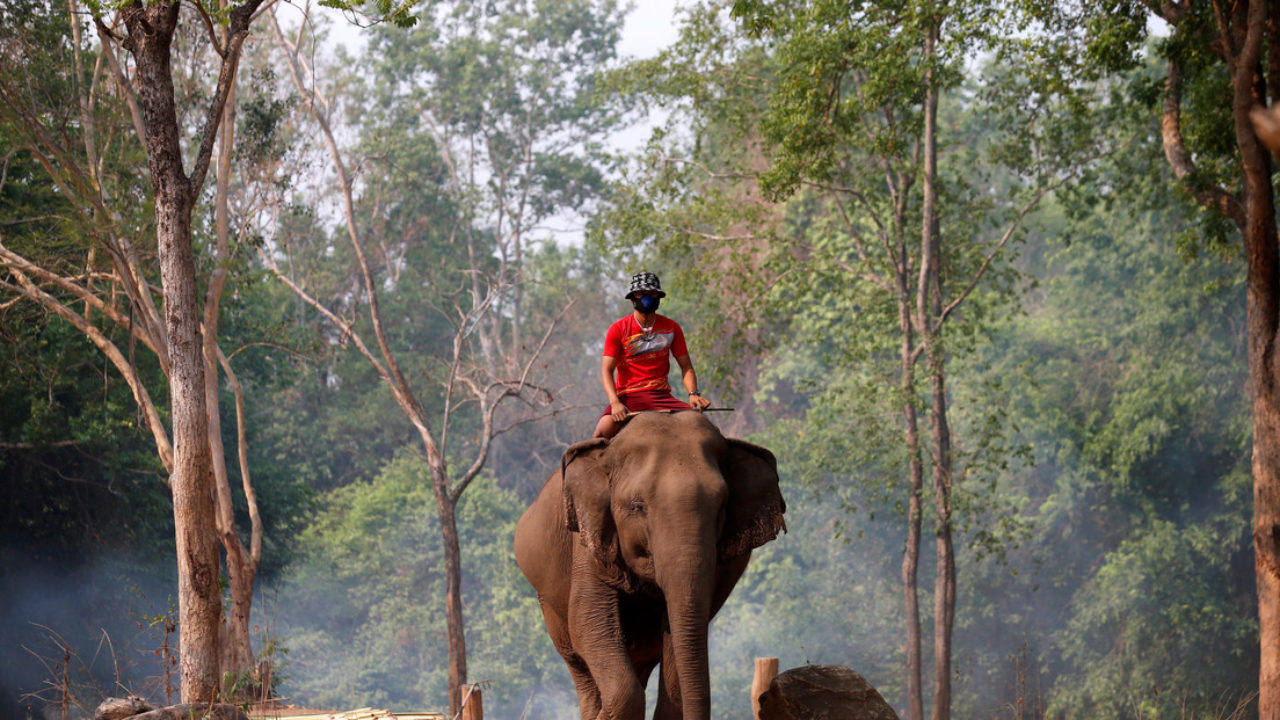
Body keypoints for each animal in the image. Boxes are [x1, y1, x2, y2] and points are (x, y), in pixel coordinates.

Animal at [514, 409, 783, 717]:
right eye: (637, 506)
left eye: (722, 507)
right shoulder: (587, 542)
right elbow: (588, 623)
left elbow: (677, 645)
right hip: (548, 604)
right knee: (579, 662)